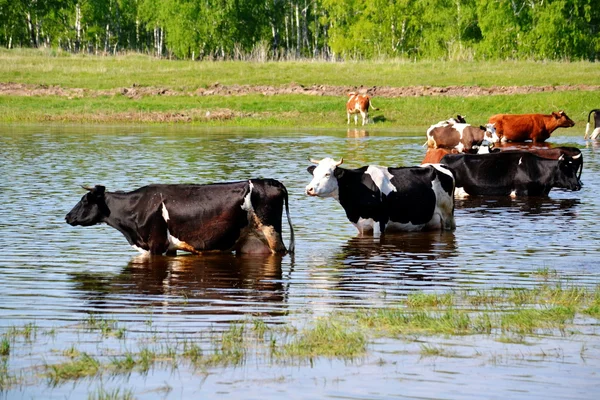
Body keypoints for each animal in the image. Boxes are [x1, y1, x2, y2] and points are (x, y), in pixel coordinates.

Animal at [65, 180, 296, 255]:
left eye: (85, 200)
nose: (67, 216)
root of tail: (271, 182)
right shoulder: (168, 247)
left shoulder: (156, 244)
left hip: (272, 234)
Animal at [304, 157, 454, 234]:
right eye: (314, 173)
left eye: (327, 174)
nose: (309, 189)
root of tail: (436, 165)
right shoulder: (361, 225)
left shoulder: (380, 220)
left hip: (448, 215)